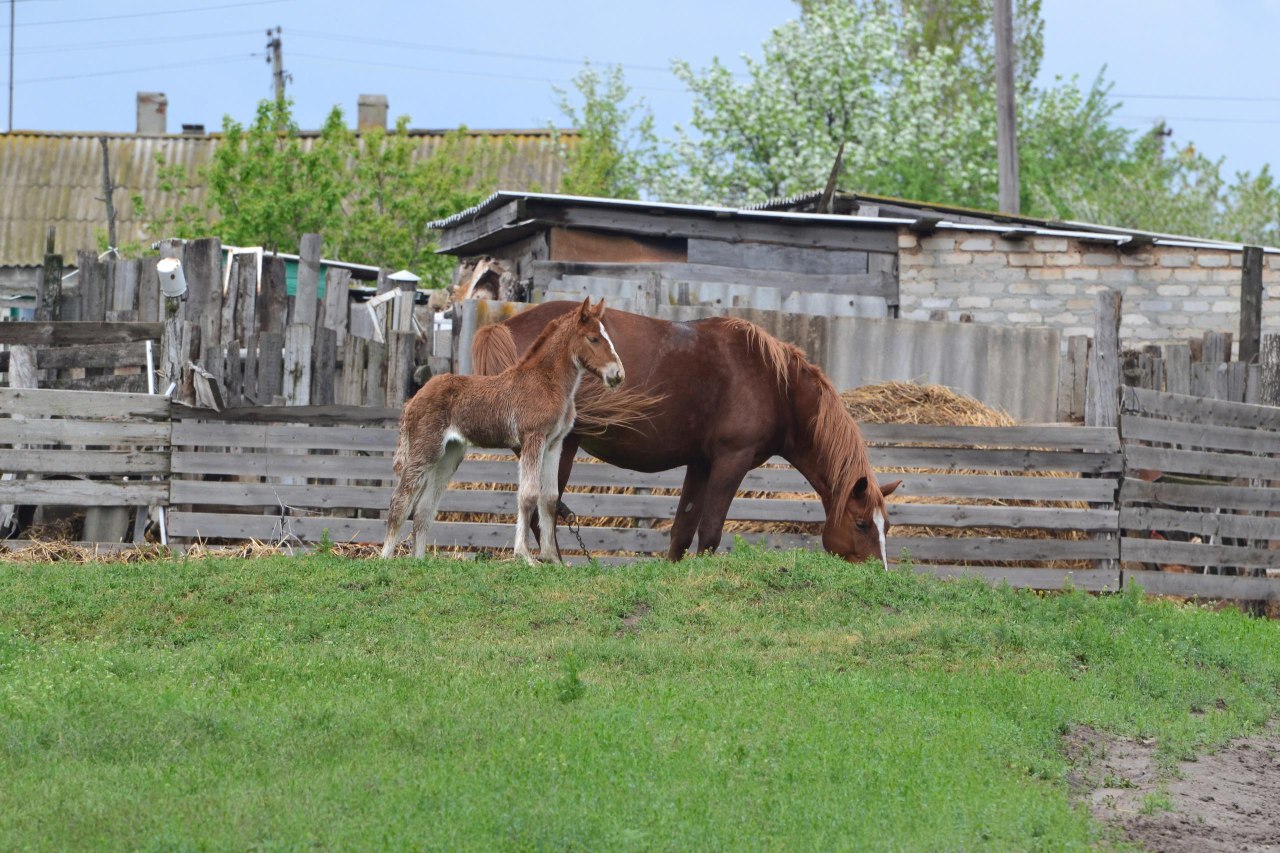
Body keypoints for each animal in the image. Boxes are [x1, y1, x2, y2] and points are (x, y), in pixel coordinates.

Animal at [378, 298, 624, 563]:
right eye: (593, 339)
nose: (618, 374)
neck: (547, 383)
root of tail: (413, 399)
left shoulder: (554, 444)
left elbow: (549, 498)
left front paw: (553, 559)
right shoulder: (533, 438)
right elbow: (528, 495)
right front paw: (525, 556)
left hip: (449, 454)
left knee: (424, 508)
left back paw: (419, 560)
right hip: (425, 449)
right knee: (400, 500)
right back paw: (385, 558)